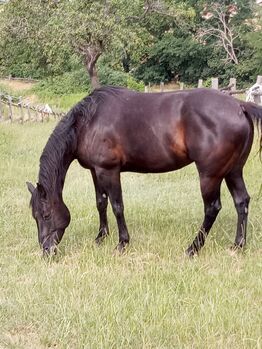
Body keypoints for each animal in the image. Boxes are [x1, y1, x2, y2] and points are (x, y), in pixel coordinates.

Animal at [25, 86, 262, 256]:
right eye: (34, 216)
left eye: (46, 215)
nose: (46, 251)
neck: (88, 122)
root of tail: (239, 105)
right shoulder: (95, 170)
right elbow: (101, 203)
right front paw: (101, 237)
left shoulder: (109, 170)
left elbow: (117, 206)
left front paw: (122, 243)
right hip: (233, 171)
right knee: (241, 202)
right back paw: (237, 246)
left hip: (210, 175)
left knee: (212, 208)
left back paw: (192, 248)